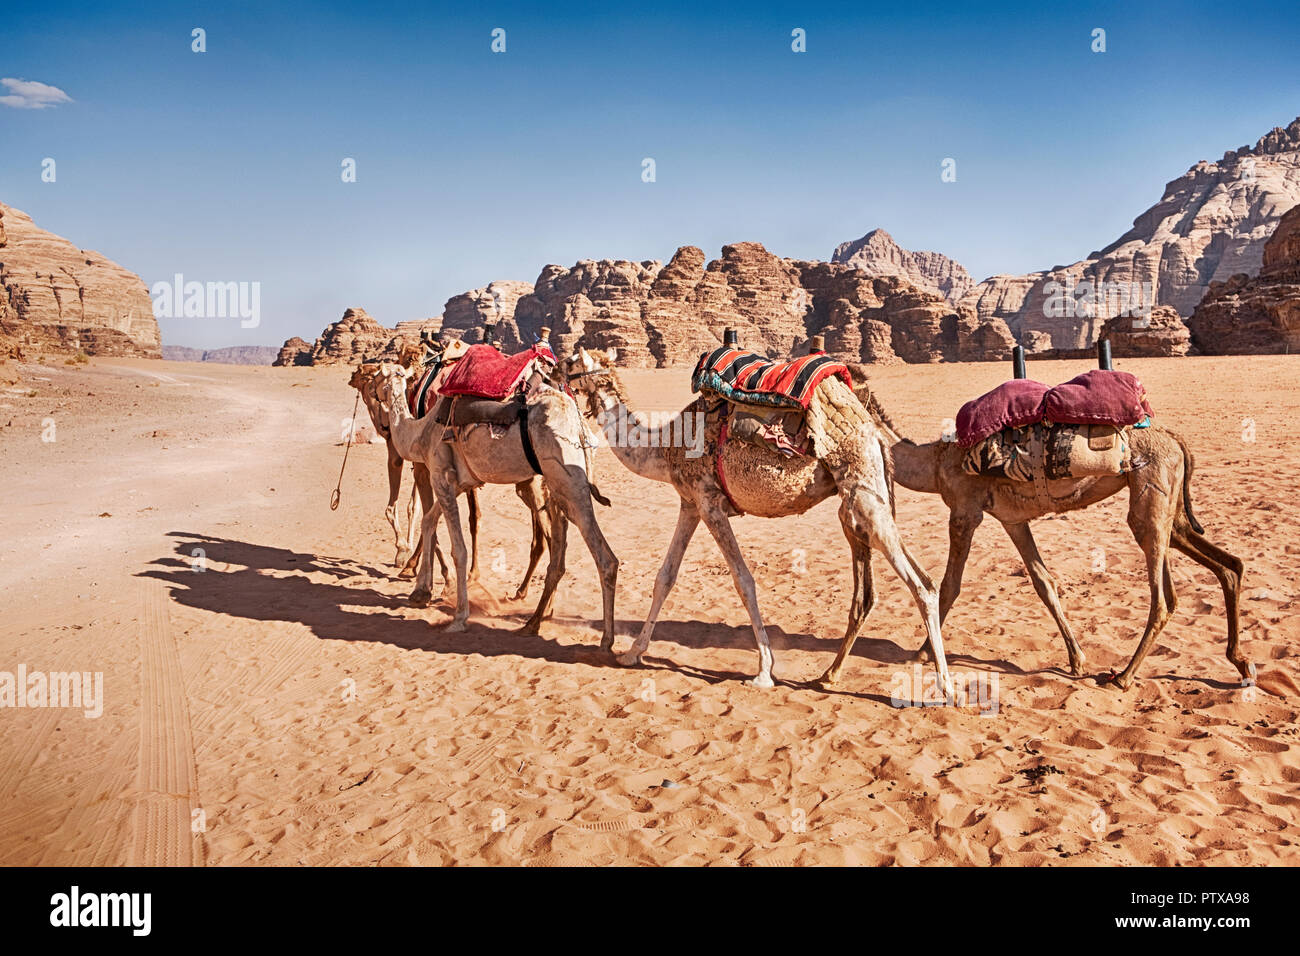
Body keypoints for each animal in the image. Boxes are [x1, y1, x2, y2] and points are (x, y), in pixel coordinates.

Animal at [376, 361, 619, 643]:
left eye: (377, 376)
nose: (381, 421)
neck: (420, 434)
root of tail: (578, 424)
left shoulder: (440, 473)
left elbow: (458, 549)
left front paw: (459, 617)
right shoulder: (460, 482)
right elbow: (428, 521)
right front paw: (420, 593)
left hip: (568, 480)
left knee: (604, 557)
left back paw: (606, 640)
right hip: (557, 484)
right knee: (559, 552)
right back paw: (533, 622)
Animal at [563, 347, 954, 696]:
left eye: (570, 364)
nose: (554, 372)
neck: (666, 447)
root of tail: (871, 426)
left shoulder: (710, 504)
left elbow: (744, 581)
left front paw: (764, 671)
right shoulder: (689, 504)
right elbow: (665, 578)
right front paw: (632, 653)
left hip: (864, 494)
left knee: (922, 584)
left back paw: (946, 688)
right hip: (858, 502)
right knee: (873, 591)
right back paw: (828, 676)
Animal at [854, 385, 1250, 690]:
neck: (935, 463)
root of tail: (1176, 440)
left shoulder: (965, 512)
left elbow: (950, 584)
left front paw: (922, 651)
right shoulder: (1012, 520)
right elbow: (1043, 582)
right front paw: (1076, 659)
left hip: (1151, 499)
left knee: (1165, 598)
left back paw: (1123, 677)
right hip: (1172, 510)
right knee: (1228, 564)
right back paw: (1241, 663)